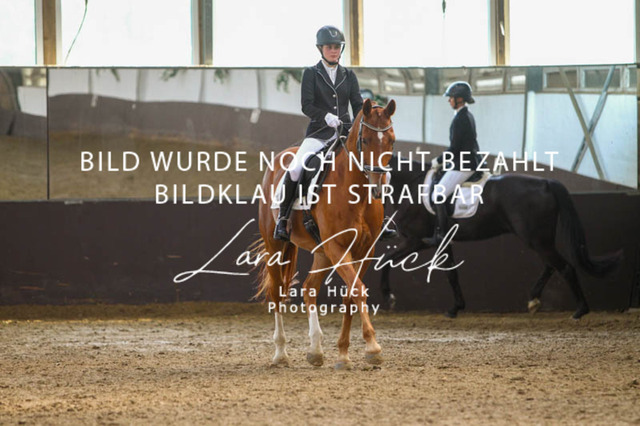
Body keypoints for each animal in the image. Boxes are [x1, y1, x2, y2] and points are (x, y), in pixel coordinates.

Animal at [253, 98, 396, 369]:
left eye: (391, 140)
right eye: (365, 140)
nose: (378, 187)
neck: (356, 193)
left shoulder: (365, 250)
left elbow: (350, 294)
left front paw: (343, 354)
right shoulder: (337, 248)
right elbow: (357, 289)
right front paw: (373, 347)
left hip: (321, 251)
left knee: (309, 288)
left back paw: (316, 350)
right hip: (275, 246)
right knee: (277, 293)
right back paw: (281, 354)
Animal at [379, 155, 622, 319]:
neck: (411, 184)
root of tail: (545, 182)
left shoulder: (416, 240)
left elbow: (385, 260)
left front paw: (387, 298)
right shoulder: (440, 242)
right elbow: (451, 273)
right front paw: (456, 307)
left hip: (536, 239)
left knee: (565, 267)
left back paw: (580, 310)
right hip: (540, 239)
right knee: (551, 265)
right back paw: (534, 300)